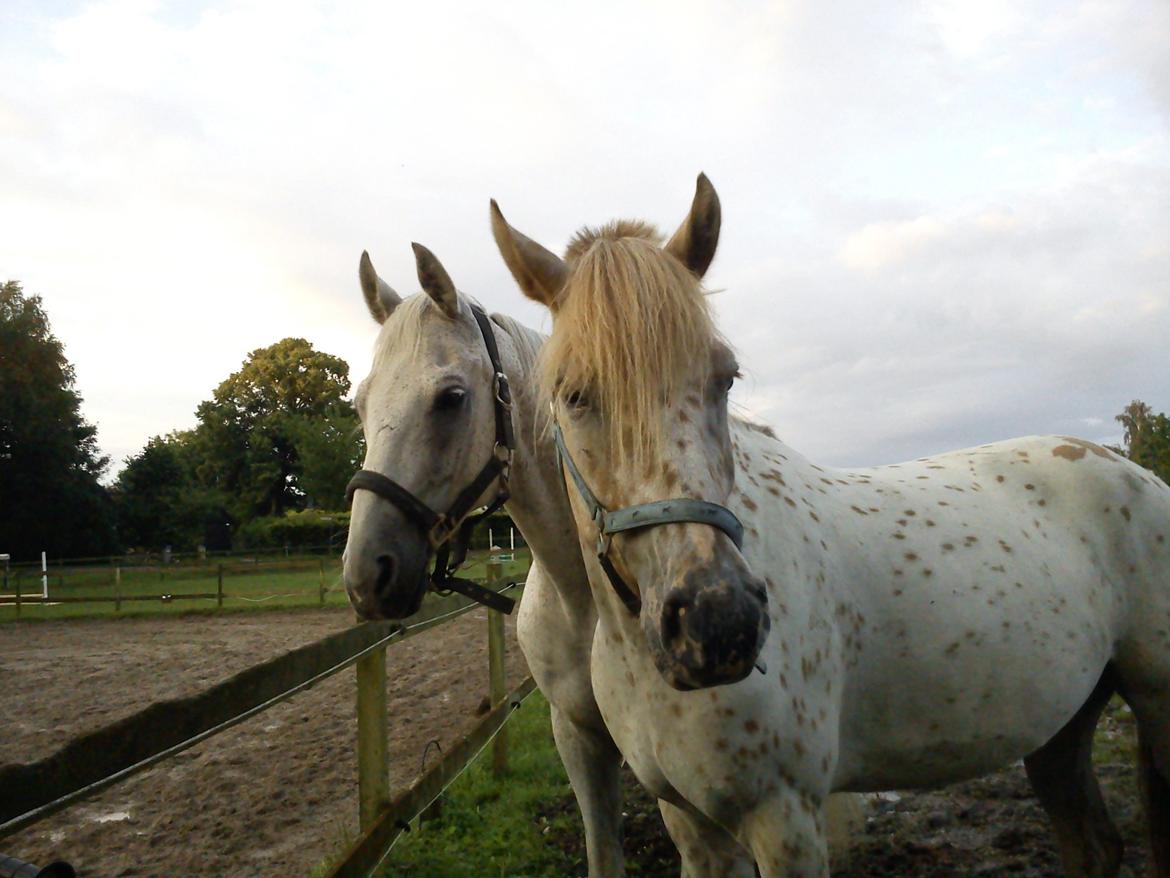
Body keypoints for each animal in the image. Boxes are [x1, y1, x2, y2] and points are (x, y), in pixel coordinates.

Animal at [489, 175, 1170, 875]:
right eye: (573, 395)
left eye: (725, 378)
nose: (718, 622)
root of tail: (1134, 471)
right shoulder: (691, 825)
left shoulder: (786, 819)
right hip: (1062, 723)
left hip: (1156, 699)